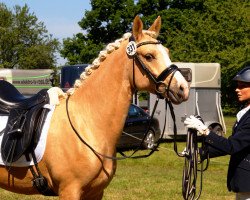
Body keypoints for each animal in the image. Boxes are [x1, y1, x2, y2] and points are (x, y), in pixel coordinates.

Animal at [0, 15, 188, 198]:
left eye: (167, 52)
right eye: (149, 56)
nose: (182, 88)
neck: (86, 123)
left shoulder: (97, 192)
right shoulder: (69, 190)